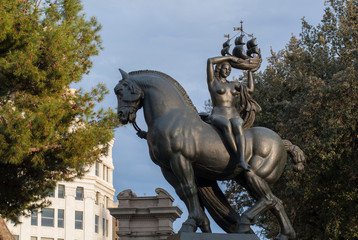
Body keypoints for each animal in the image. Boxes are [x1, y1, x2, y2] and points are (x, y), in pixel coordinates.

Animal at [114, 68, 304, 239]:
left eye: (121, 90)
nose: (122, 115)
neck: (170, 118)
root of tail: (282, 142)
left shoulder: (180, 160)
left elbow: (189, 190)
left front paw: (189, 224)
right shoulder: (167, 168)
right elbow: (185, 194)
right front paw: (200, 225)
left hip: (254, 174)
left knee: (269, 199)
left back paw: (244, 223)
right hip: (245, 178)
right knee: (275, 201)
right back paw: (284, 234)